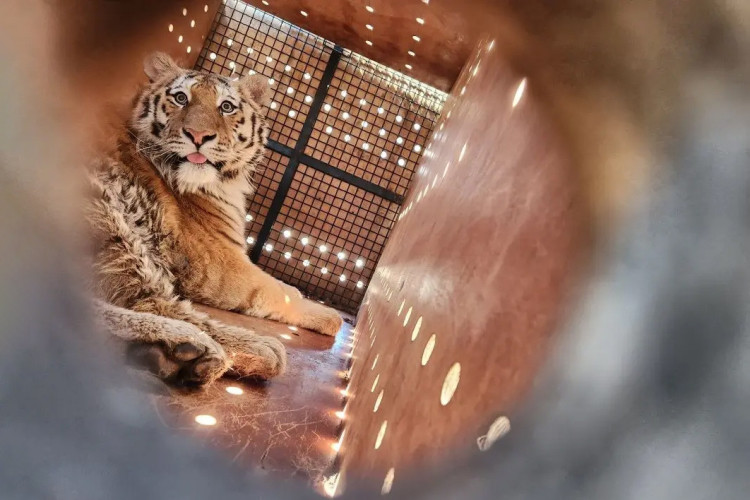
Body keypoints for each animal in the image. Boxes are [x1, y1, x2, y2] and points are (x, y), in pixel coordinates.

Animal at [87, 52, 343, 386]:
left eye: (227, 107)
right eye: (181, 98)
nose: (198, 136)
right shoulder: (217, 261)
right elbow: (278, 290)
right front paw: (330, 316)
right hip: (113, 218)